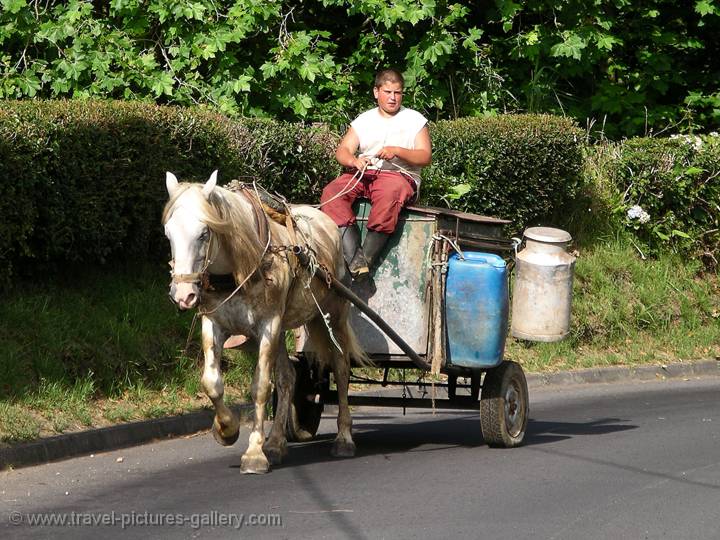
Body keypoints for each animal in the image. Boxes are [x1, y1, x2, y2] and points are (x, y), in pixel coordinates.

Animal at [163, 172, 366, 472]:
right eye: (169, 233)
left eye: (204, 233)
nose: (183, 295)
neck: (241, 266)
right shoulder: (214, 323)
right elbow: (212, 382)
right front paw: (226, 429)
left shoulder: (268, 325)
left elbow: (260, 387)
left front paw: (254, 454)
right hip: (282, 330)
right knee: (288, 377)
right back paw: (276, 443)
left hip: (334, 315)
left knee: (341, 369)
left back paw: (343, 438)